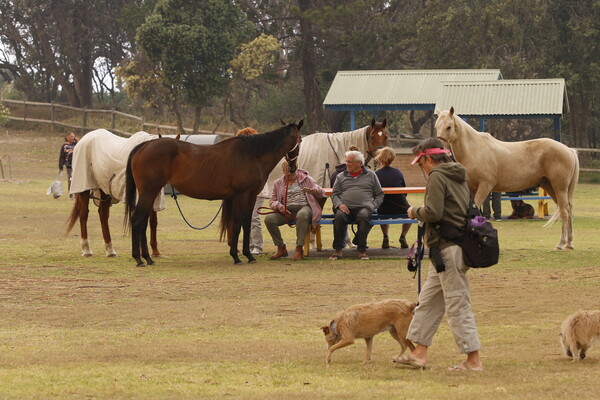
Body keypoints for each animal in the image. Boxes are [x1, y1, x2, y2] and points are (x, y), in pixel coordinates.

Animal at [124, 120, 302, 268]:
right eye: (300, 140)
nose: (293, 168)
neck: (251, 155)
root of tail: (144, 146)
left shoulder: (250, 197)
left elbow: (246, 223)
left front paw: (249, 255)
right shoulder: (241, 196)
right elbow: (237, 223)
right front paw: (236, 257)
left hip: (150, 193)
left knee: (143, 221)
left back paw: (147, 258)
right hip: (149, 192)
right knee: (137, 219)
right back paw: (139, 259)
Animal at [434, 107, 580, 250]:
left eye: (449, 126)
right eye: (436, 126)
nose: (439, 146)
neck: (476, 150)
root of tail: (568, 150)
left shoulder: (485, 186)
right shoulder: (472, 188)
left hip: (559, 188)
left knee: (564, 212)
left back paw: (561, 244)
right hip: (551, 187)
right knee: (568, 210)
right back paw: (569, 243)